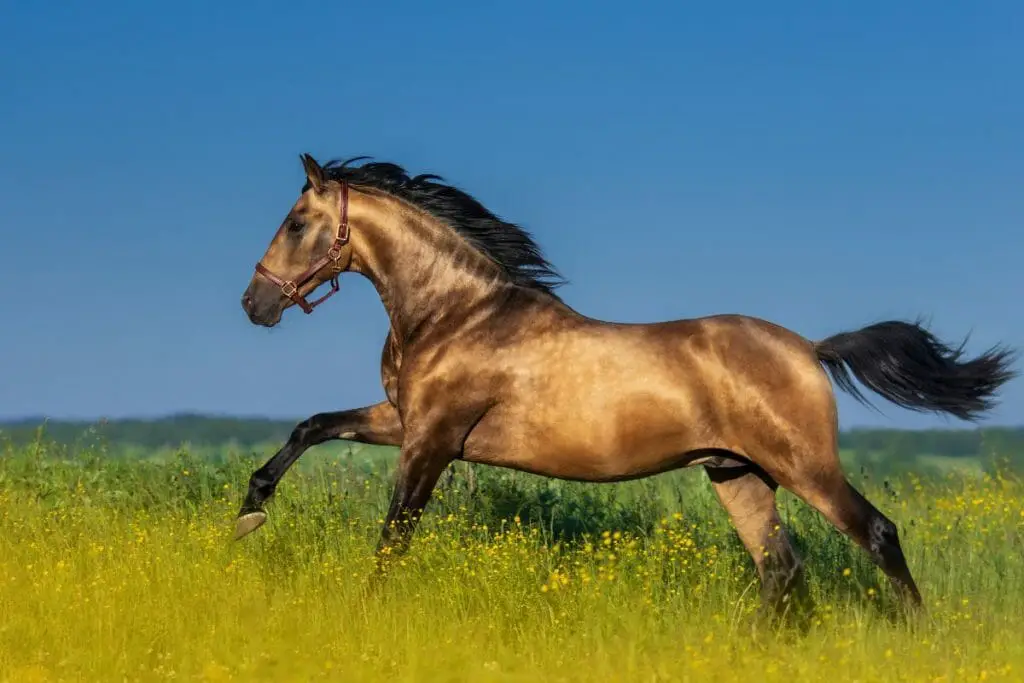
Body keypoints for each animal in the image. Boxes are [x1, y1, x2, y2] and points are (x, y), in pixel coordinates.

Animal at [234, 154, 1015, 618]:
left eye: (297, 223)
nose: (255, 304)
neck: (457, 313)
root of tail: (810, 349)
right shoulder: (405, 419)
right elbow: (312, 425)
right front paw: (248, 514)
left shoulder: (431, 439)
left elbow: (393, 535)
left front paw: (366, 607)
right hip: (737, 473)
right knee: (780, 570)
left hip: (804, 466)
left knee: (876, 534)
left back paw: (916, 634)